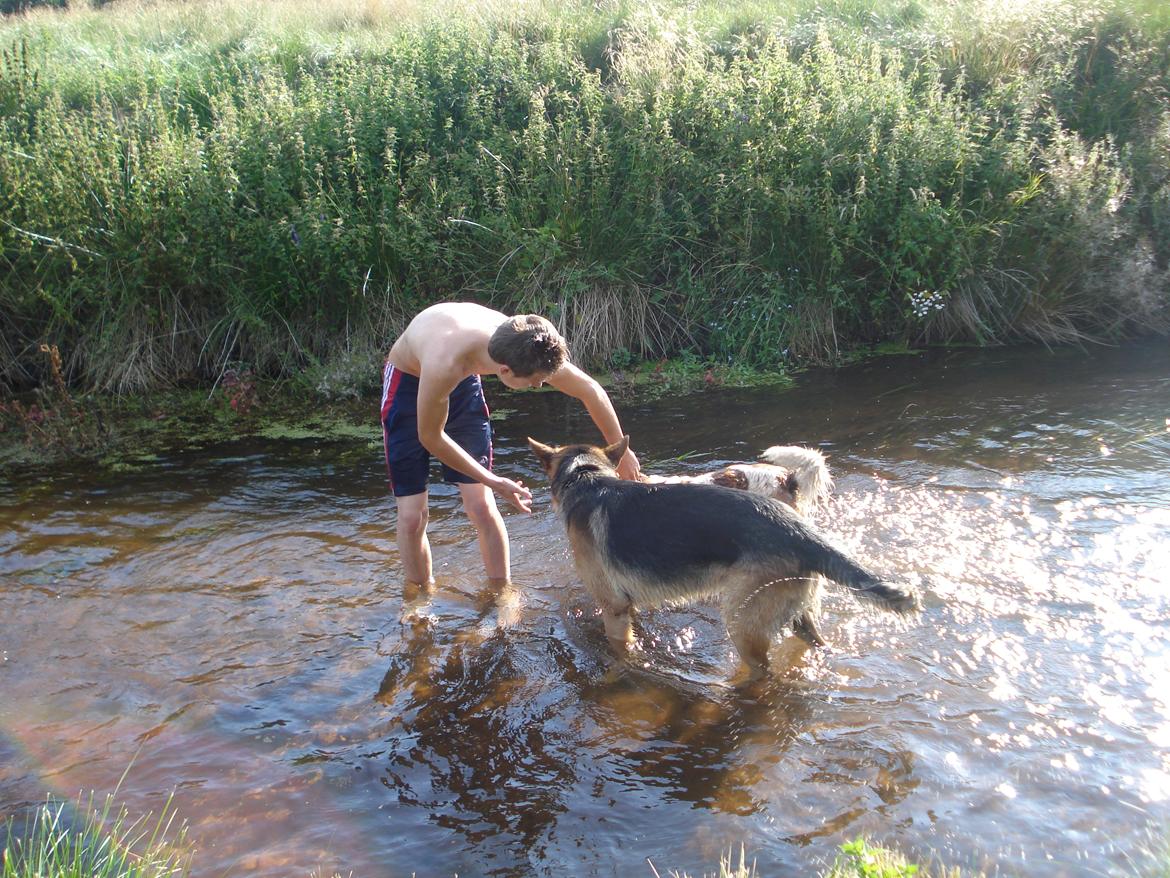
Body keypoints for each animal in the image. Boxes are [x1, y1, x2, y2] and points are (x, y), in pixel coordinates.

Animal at [526, 437, 917, 678]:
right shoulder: (628, 607)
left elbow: (621, 652)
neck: (584, 476)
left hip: (742, 623)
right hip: (797, 616)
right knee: (815, 646)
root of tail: (800, 533)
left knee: (765, 675)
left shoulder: (615, 609)